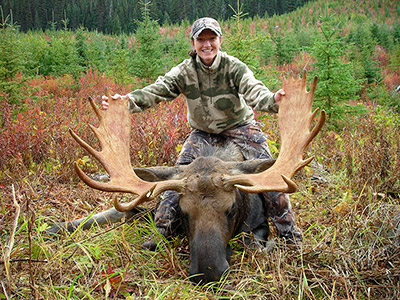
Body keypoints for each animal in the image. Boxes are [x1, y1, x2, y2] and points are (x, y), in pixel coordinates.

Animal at [48, 72, 326, 284]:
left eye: (232, 208)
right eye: (183, 211)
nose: (209, 272)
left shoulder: (258, 223)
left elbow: (252, 243)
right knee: (125, 212)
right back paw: (56, 227)